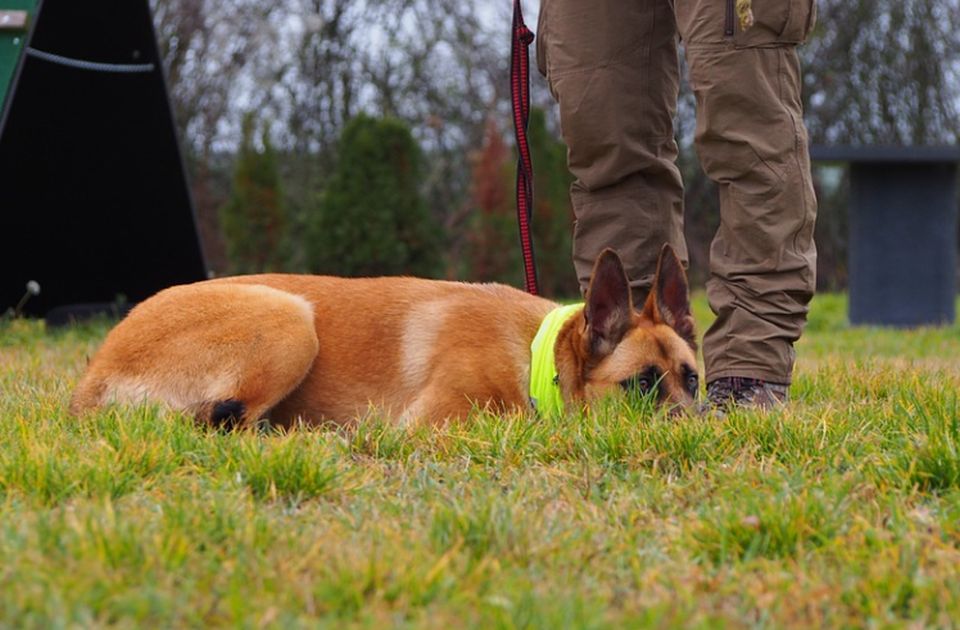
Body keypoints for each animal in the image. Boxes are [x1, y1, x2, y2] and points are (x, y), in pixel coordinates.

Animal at [67, 244, 696, 428]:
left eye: (693, 380)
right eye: (641, 385)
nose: (702, 433)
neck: (538, 357)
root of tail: (91, 380)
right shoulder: (433, 425)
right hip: (291, 320)